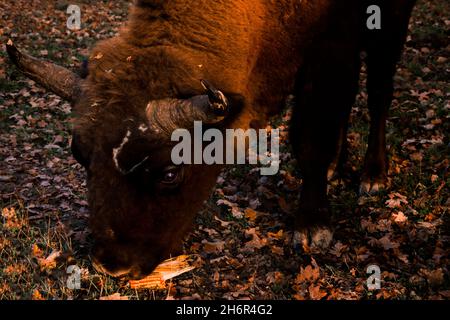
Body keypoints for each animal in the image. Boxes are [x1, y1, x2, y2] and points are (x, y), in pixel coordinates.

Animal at [6, 0, 414, 278]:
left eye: (170, 173)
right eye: (80, 157)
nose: (112, 265)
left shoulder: (330, 49)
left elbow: (311, 137)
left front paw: (312, 227)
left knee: (378, 92)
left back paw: (373, 176)